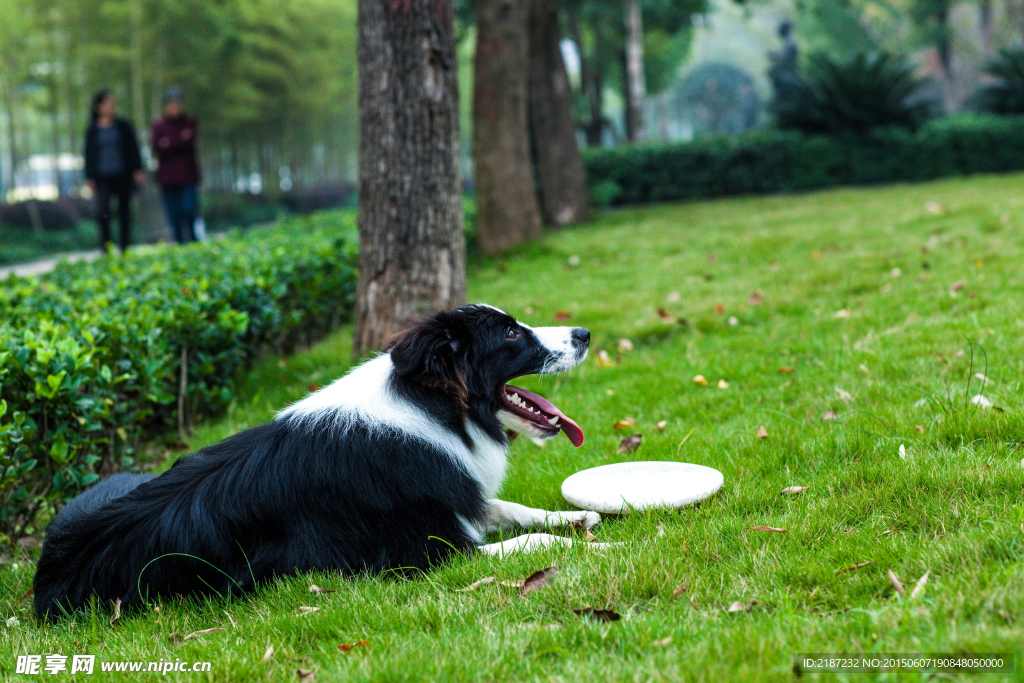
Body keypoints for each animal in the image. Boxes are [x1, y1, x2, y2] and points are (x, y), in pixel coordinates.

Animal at [36, 305, 598, 618]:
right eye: (510, 335)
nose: (585, 334)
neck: (432, 407)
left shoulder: (456, 499)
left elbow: (514, 510)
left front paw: (579, 516)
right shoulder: (419, 551)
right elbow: (529, 541)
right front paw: (594, 544)